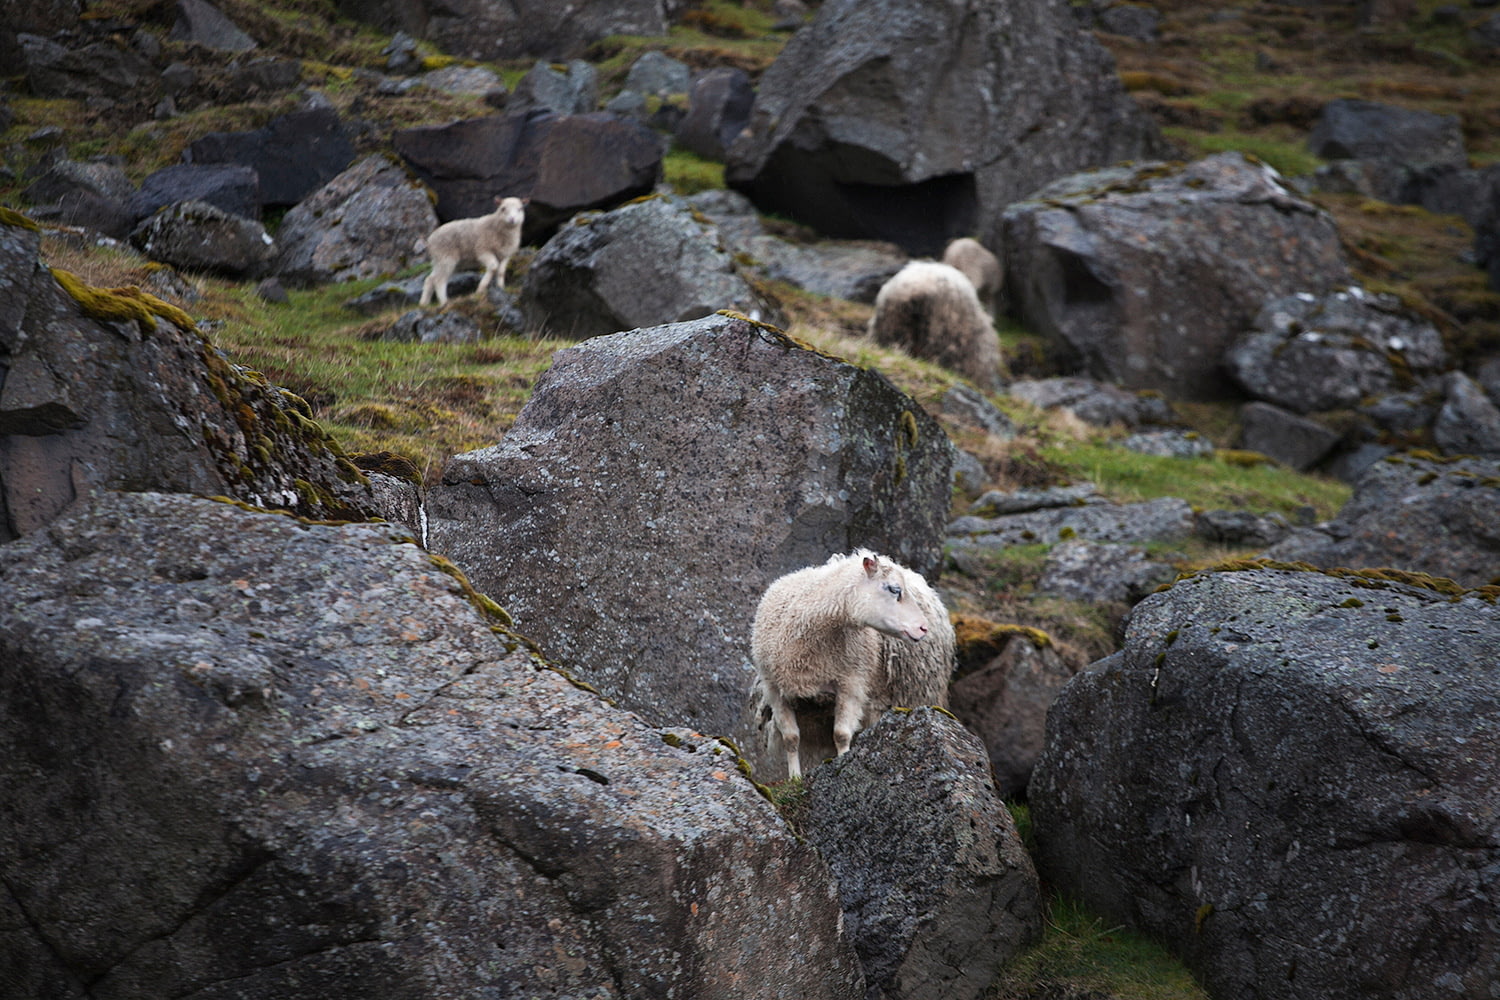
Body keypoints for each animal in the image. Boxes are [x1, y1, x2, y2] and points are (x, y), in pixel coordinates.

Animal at [750, 551, 960, 779]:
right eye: (894, 589)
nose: (923, 628)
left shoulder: (851, 682)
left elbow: (841, 735)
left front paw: (841, 766)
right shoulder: (774, 689)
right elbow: (791, 738)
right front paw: (795, 778)